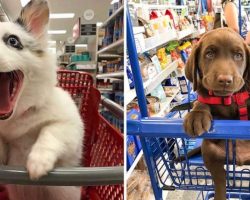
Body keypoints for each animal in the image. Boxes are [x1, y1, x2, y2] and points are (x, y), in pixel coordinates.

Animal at [183, 27, 250, 200]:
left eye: (238, 55)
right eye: (209, 54)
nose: (225, 80)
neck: (226, 99)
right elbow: (201, 101)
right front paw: (197, 115)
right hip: (209, 151)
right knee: (220, 178)